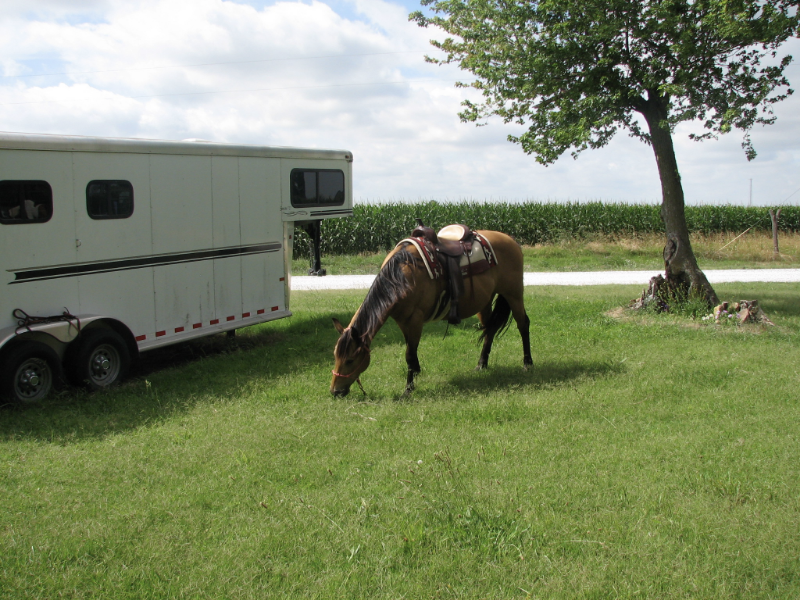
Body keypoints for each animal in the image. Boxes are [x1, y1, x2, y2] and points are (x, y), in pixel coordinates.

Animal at [330, 230, 532, 398]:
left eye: (350, 360)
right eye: (335, 356)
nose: (335, 391)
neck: (402, 274)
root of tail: (511, 240)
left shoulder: (415, 320)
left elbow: (409, 354)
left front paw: (408, 389)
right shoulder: (403, 321)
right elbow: (411, 352)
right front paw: (415, 374)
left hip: (513, 294)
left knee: (523, 324)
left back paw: (527, 363)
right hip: (485, 302)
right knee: (489, 329)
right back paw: (481, 364)